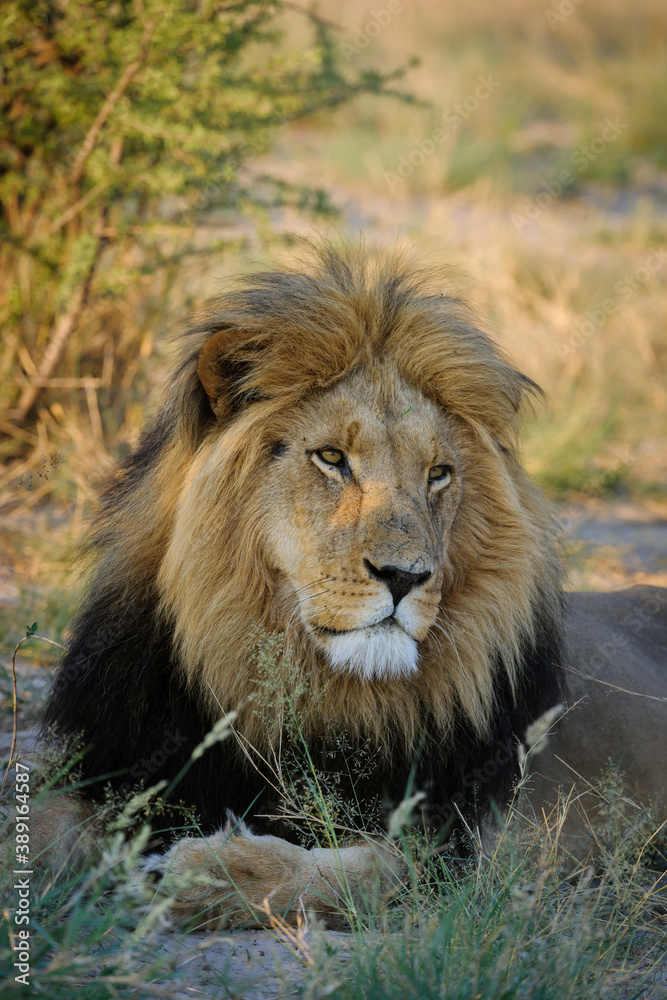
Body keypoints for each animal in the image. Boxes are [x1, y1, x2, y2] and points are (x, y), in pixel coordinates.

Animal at [37, 244, 667, 928]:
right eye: (332, 458)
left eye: (438, 474)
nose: (405, 576)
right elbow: (47, 829)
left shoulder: (470, 844)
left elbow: (363, 872)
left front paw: (203, 869)